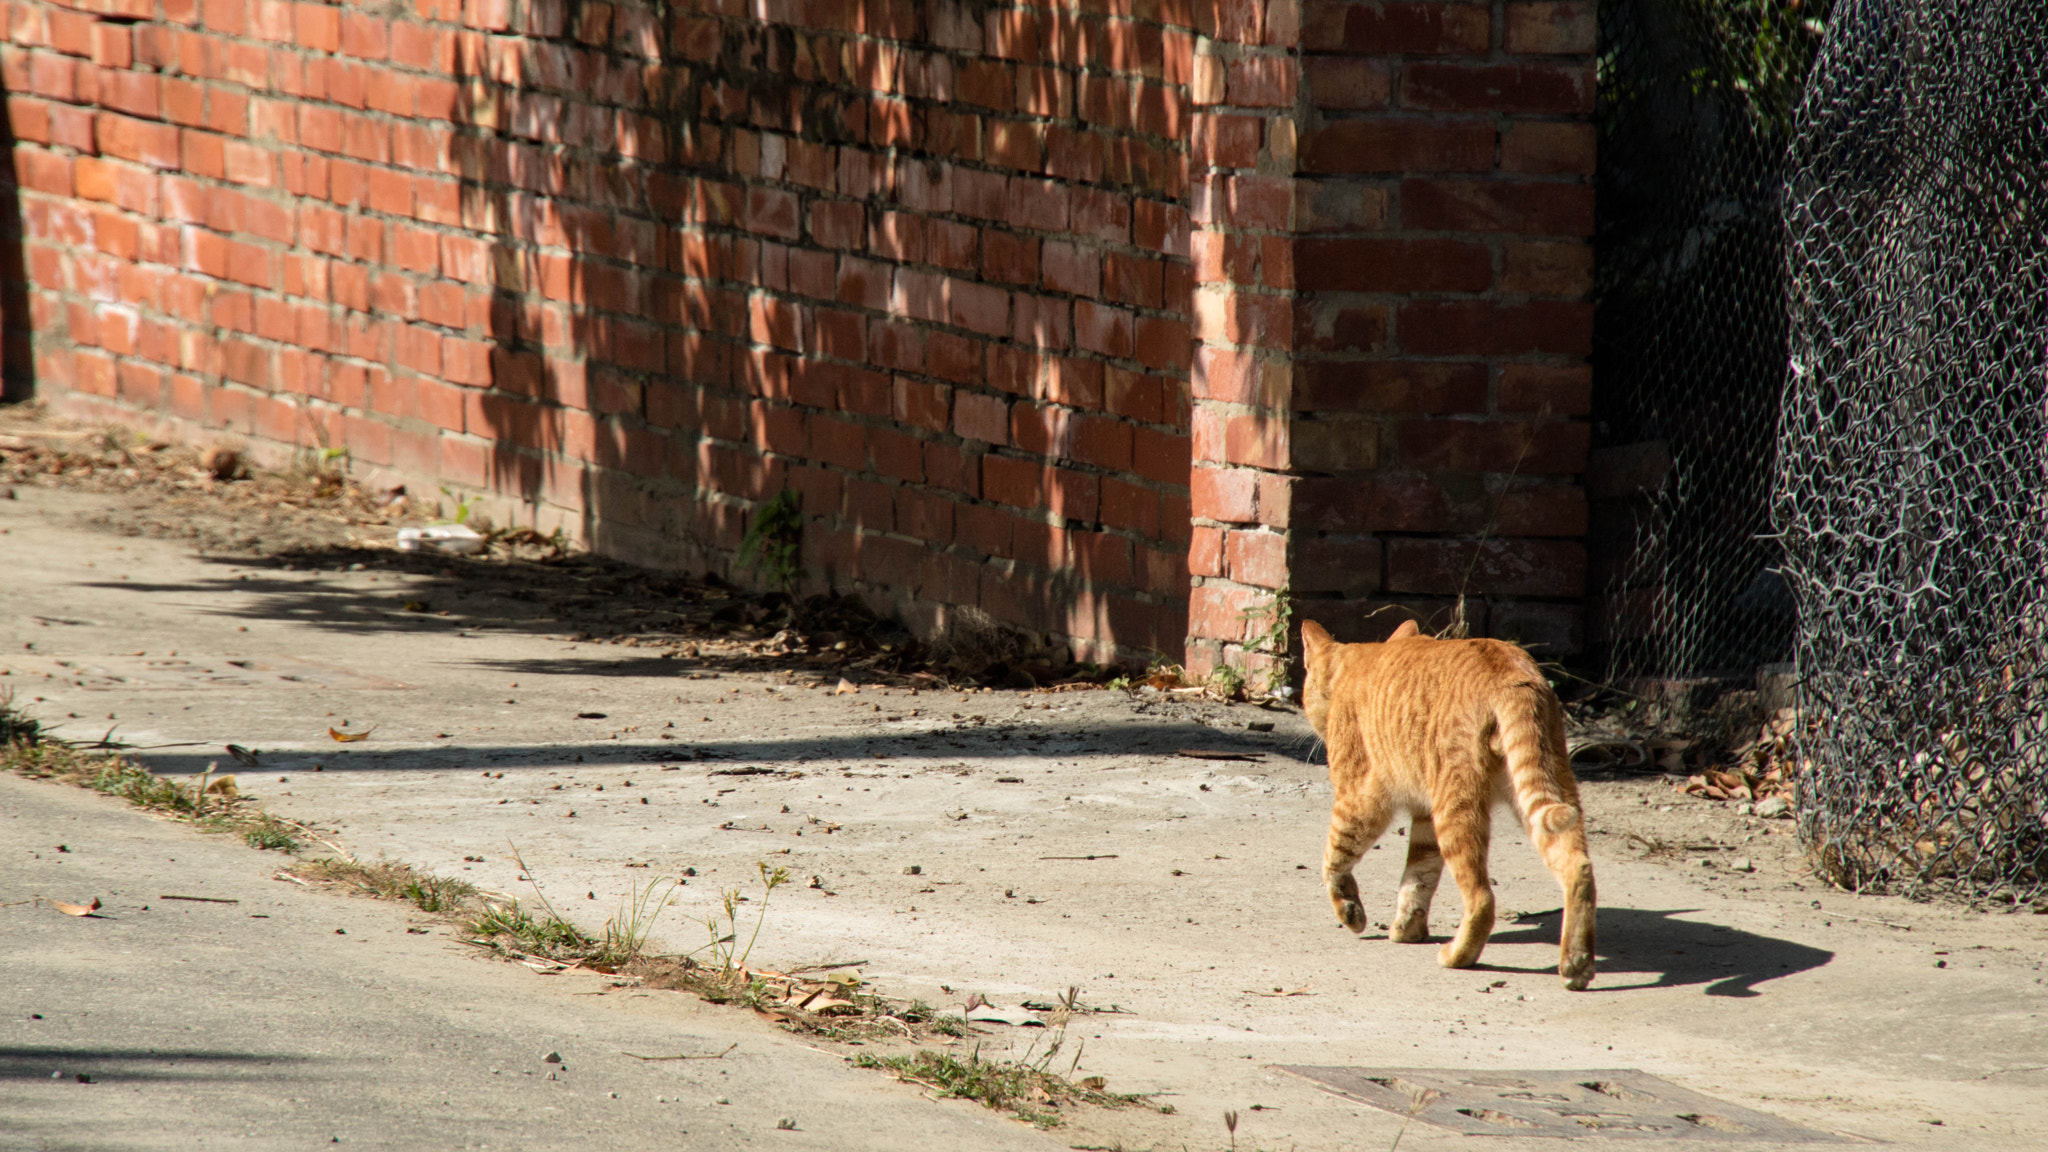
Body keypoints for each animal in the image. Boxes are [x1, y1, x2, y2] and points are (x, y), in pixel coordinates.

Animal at [1302, 619, 1589, 988]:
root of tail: (1511, 669)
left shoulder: (1358, 801)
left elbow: (1334, 858)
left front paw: (1349, 910)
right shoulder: (1424, 818)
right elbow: (1419, 876)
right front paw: (1408, 928)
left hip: (1456, 808)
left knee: (1481, 898)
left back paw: (1457, 956)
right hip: (1548, 797)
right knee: (1578, 867)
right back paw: (1577, 965)